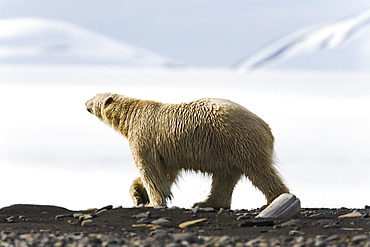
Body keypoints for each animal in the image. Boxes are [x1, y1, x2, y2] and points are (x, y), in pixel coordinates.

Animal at [86, 92, 290, 208]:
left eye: (94, 97)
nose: (85, 102)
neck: (132, 115)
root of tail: (265, 127)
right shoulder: (166, 150)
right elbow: (166, 172)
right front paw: (138, 194)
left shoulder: (143, 137)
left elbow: (149, 170)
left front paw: (152, 202)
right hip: (226, 149)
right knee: (225, 176)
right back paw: (207, 202)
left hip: (237, 139)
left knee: (258, 170)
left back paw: (277, 197)